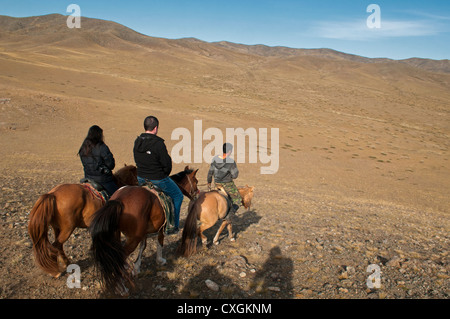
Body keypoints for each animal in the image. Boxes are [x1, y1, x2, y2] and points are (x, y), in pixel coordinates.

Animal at [89, 168, 199, 296]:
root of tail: (118, 200)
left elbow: (143, 246)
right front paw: (160, 260)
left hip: (116, 234)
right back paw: (121, 288)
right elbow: (160, 242)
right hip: (132, 239)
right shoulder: (161, 228)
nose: (197, 195)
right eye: (196, 181)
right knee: (119, 258)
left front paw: (136, 267)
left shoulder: (144, 232)